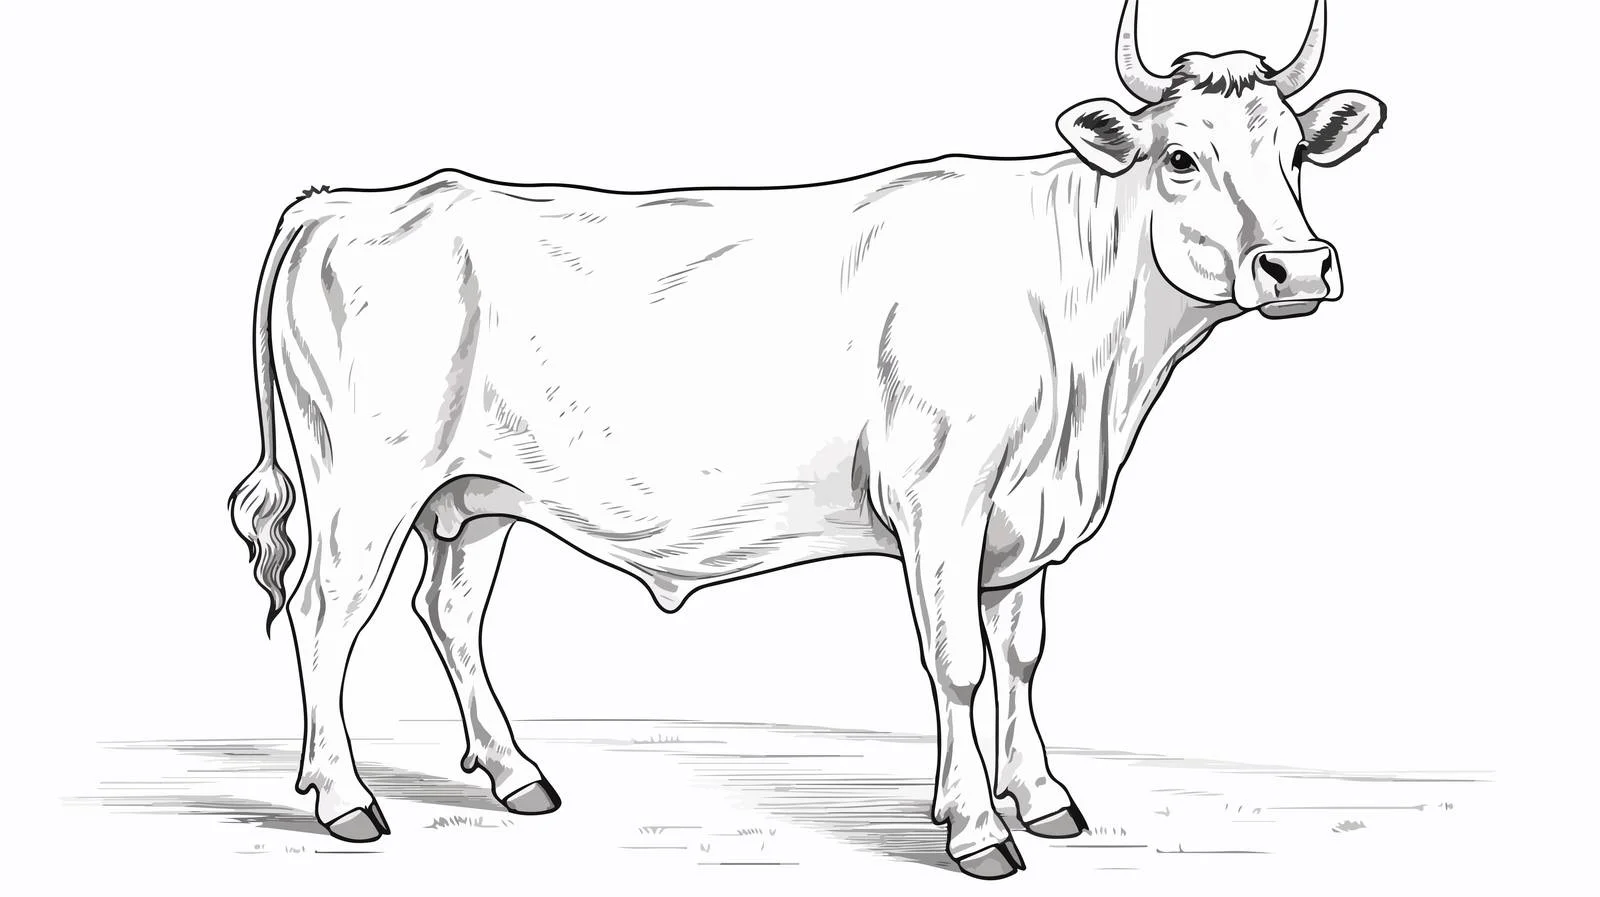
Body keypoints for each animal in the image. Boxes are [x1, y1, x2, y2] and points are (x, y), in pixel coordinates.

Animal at [228, 0, 1384, 879]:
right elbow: (958, 660)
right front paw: (977, 828)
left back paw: (518, 777)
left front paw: (1043, 795)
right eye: (1181, 156)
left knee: (450, 612)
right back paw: (343, 798)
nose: (1299, 266)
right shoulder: (943, 495)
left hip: (470, 497)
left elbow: (1021, 652)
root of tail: (339, 205)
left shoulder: (1026, 514)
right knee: (326, 614)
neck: (1086, 373)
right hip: (363, 484)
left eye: (1295, 153)